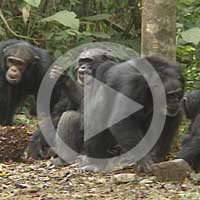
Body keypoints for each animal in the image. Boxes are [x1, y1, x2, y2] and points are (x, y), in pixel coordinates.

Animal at [51, 55, 184, 173]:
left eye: (177, 94)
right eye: (169, 95)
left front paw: (156, 156)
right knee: (95, 115)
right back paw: (95, 163)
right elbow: (120, 117)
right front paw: (144, 160)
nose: (175, 101)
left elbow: (171, 119)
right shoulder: (133, 84)